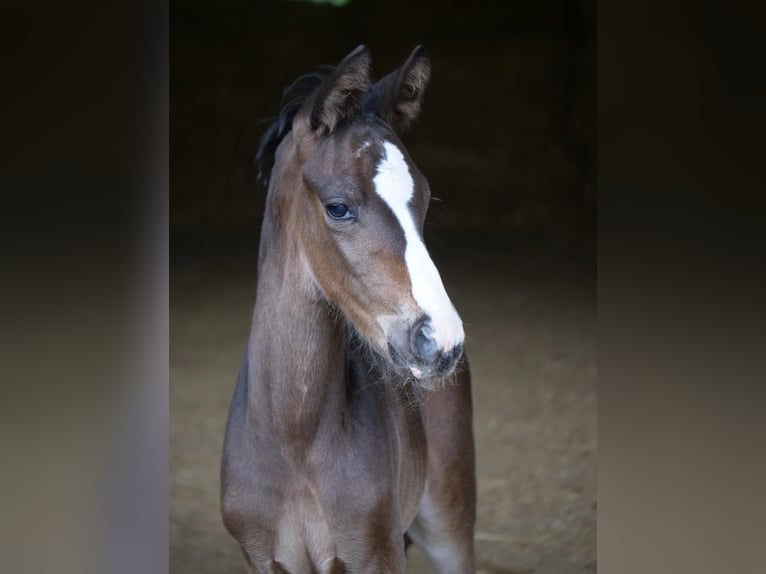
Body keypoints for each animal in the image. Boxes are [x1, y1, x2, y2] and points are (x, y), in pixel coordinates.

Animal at [219, 46, 476, 574]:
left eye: (424, 200)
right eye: (337, 207)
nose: (441, 340)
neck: (293, 440)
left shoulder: (375, 553)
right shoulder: (261, 558)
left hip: (449, 520)